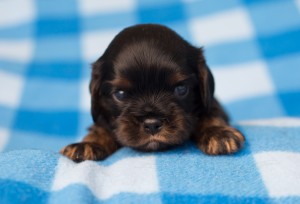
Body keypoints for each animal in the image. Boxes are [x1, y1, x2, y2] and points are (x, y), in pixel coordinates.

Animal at [60, 23, 244, 162]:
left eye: (181, 89)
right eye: (120, 94)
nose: (152, 124)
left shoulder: (211, 103)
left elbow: (210, 114)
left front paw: (218, 133)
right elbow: (100, 128)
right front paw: (88, 144)